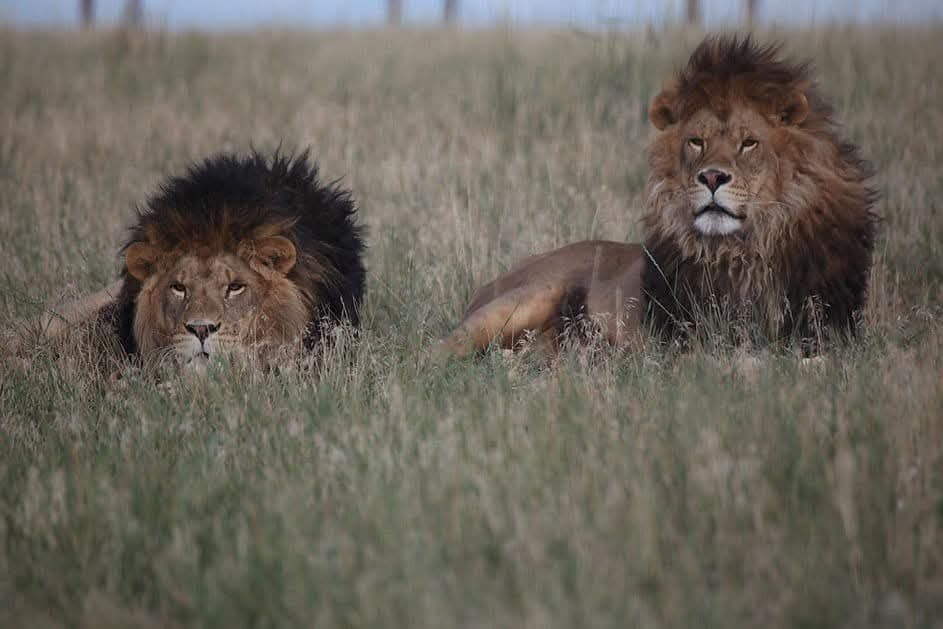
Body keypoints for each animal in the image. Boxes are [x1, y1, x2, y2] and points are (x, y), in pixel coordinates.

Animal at [440, 36, 877, 358]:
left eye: (749, 142)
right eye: (696, 141)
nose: (712, 176)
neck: (742, 250)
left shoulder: (826, 329)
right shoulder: (687, 340)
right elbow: (743, 358)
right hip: (521, 299)